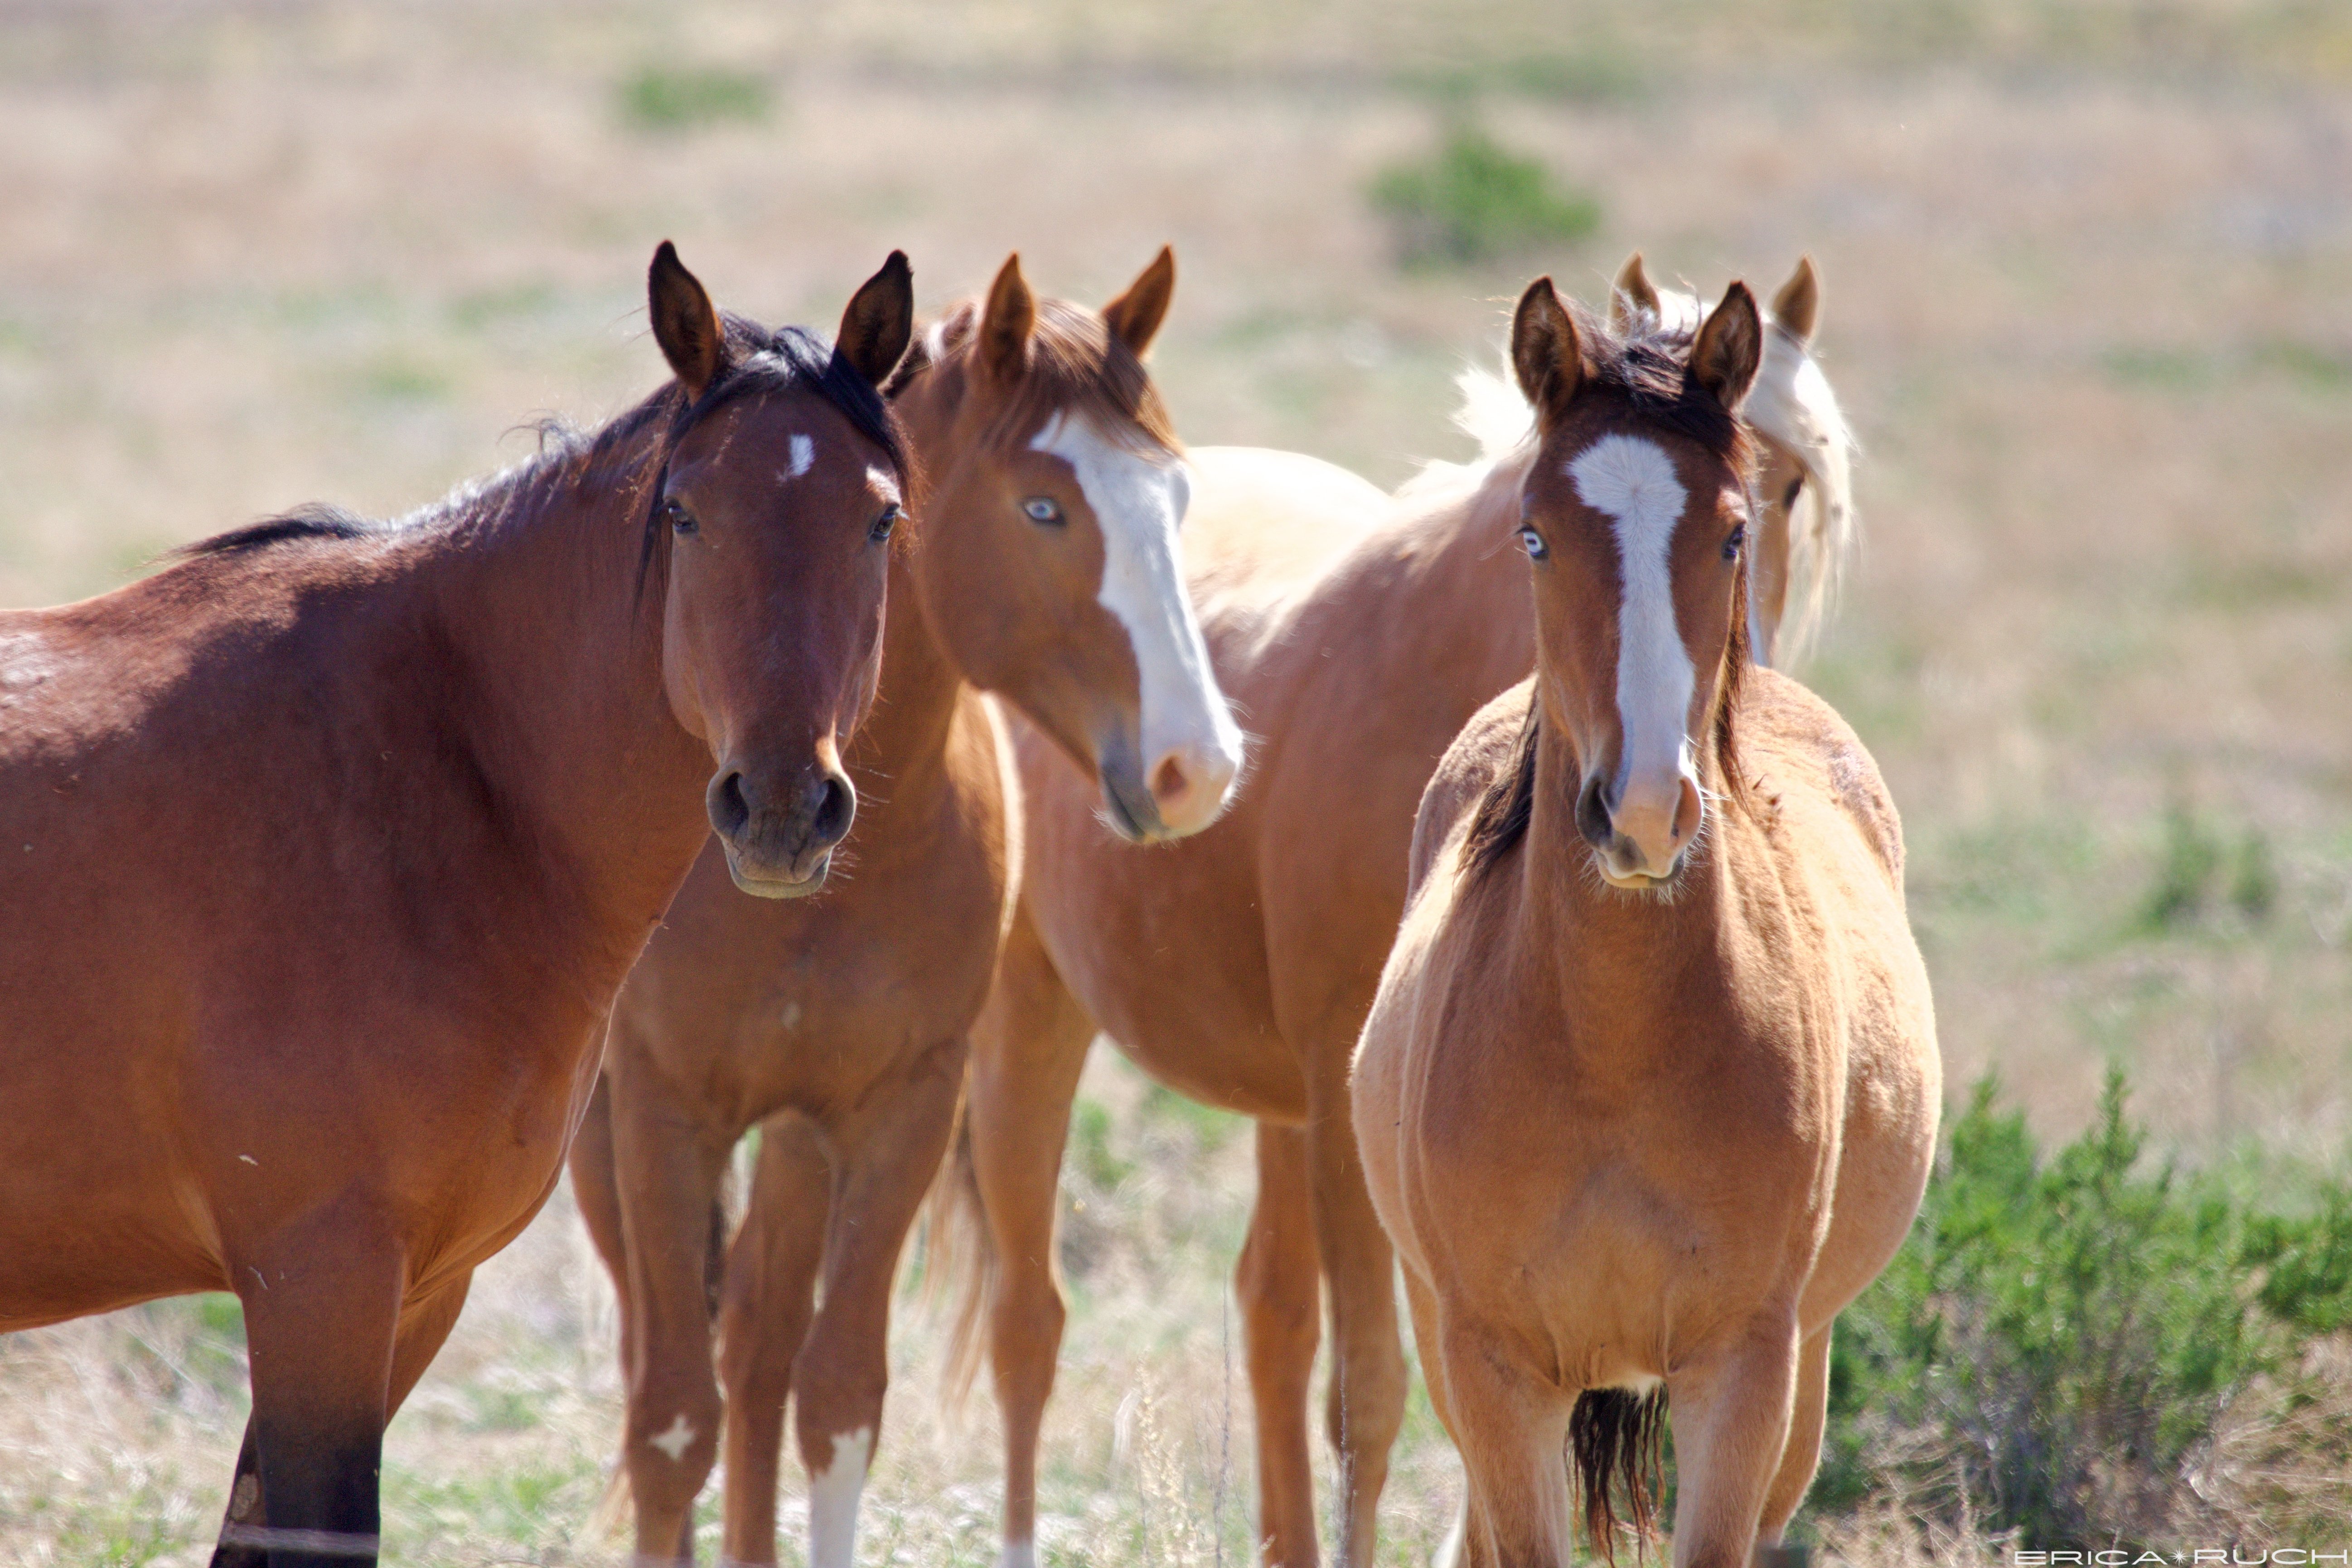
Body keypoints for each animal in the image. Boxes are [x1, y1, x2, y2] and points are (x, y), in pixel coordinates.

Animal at [0, 246, 912, 1568]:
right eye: (687, 511)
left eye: (880, 517)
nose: (783, 805)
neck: (425, 765)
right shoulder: (320, 1283)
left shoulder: (415, 1295)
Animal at [569, 248, 1251, 1568]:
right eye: (1043, 506)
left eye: (1177, 497)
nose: (1195, 762)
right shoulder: (664, 1115)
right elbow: (669, 1417)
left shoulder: (901, 1110)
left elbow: (835, 1398)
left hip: (801, 1139)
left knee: (763, 1350)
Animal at [936, 257, 1853, 1568]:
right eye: (1537, 535)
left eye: (1776, 498)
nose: (1671, 781)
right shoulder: (1360, 1122)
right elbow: (1371, 1396)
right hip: (1036, 1023)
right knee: (1031, 1320)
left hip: (1284, 1110)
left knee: (1268, 1312)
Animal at [1355, 282, 1938, 1568]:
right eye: (1532, 534)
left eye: (1728, 532)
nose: (1641, 812)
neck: (1612, 1041)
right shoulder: (1493, 1369)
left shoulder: (1745, 1369)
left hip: (1806, 1371)